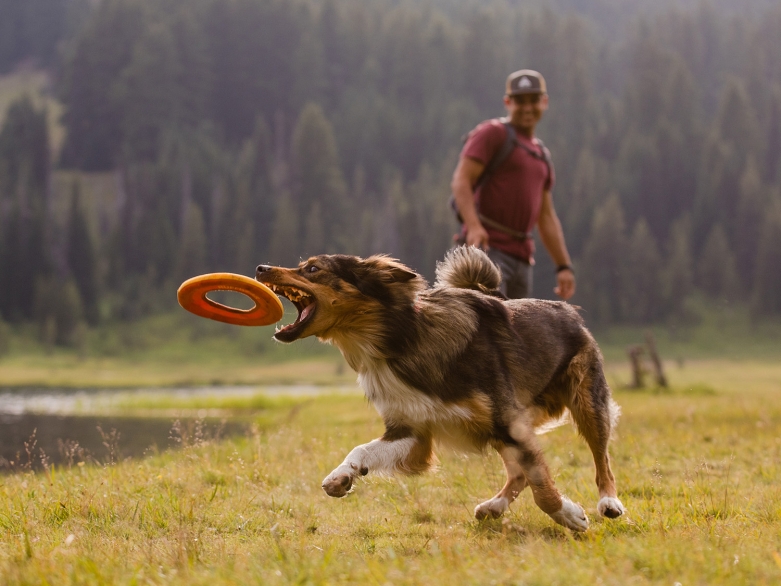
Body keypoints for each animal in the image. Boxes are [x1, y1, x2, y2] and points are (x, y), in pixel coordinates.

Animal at [254, 244, 620, 528]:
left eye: (313, 268)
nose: (260, 267)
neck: (400, 339)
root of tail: (569, 310)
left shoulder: (508, 420)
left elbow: (542, 484)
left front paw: (568, 515)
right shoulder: (412, 430)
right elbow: (362, 450)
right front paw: (342, 476)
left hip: (586, 404)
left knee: (601, 458)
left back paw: (609, 503)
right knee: (518, 473)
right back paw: (495, 506)